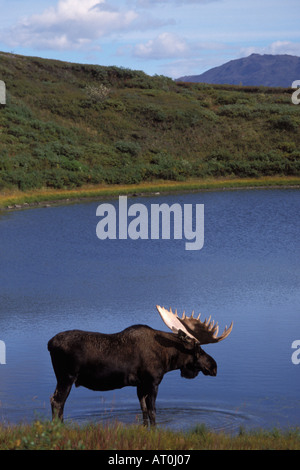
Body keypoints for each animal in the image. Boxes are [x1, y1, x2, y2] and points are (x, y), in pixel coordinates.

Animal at [48, 304, 233, 426]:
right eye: (199, 350)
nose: (214, 367)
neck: (168, 359)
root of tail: (49, 344)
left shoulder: (140, 385)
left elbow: (143, 411)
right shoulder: (152, 381)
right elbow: (152, 411)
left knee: (58, 402)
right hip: (66, 377)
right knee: (57, 401)